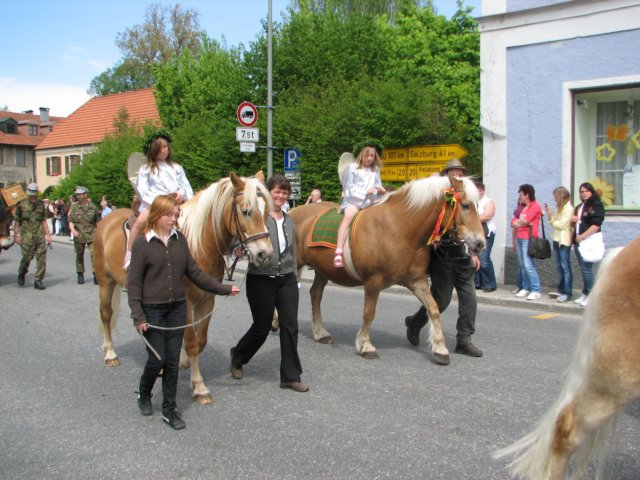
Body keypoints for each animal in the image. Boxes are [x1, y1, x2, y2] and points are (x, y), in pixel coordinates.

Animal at [94, 171, 274, 404]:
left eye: (267, 211)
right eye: (246, 211)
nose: (265, 254)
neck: (198, 245)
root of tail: (106, 220)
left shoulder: (207, 300)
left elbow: (200, 341)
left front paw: (183, 363)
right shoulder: (186, 303)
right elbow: (191, 343)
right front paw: (199, 387)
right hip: (105, 283)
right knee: (106, 314)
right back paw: (110, 354)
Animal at [288, 174, 482, 366]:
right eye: (465, 205)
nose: (480, 243)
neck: (398, 228)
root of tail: (292, 212)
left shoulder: (417, 281)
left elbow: (433, 308)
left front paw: (440, 348)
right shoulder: (373, 281)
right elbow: (369, 313)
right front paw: (366, 345)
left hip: (322, 270)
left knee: (315, 294)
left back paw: (320, 333)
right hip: (296, 265)